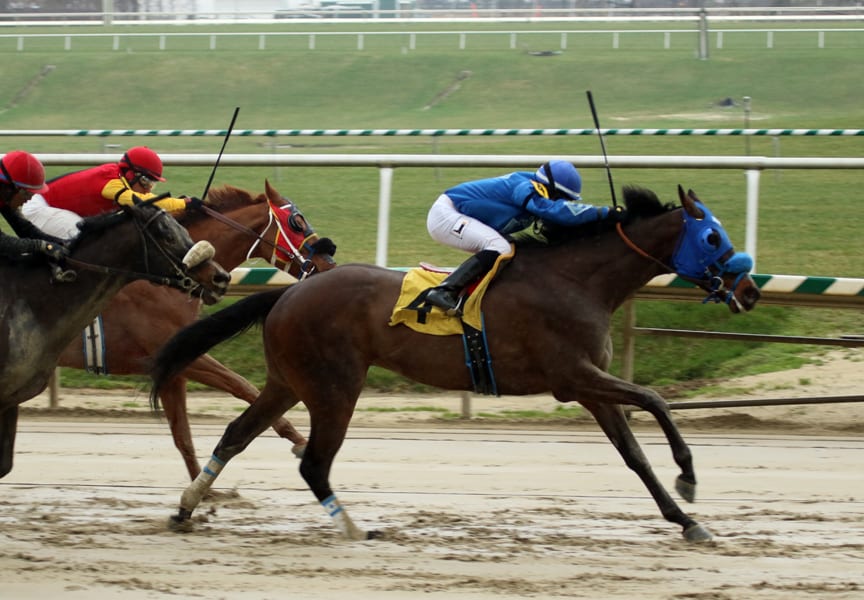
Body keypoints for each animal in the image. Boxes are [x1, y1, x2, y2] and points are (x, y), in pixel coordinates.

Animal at [58, 178, 338, 478]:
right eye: (297, 222)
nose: (328, 264)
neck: (172, 276)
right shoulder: (171, 354)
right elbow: (242, 385)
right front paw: (300, 441)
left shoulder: (173, 368)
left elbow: (183, 436)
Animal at [152, 186, 760, 544]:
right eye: (712, 236)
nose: (749, 288)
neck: (577, 279)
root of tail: (289, 291)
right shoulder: (575, 376)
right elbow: (655, 400)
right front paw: (688, 477)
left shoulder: (591, 388)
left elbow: (634, 455)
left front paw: (687, 521)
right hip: (334, 387)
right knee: (314, 464)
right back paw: (353, 527)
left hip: (289, 381)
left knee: (236, 434)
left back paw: (185, 508)